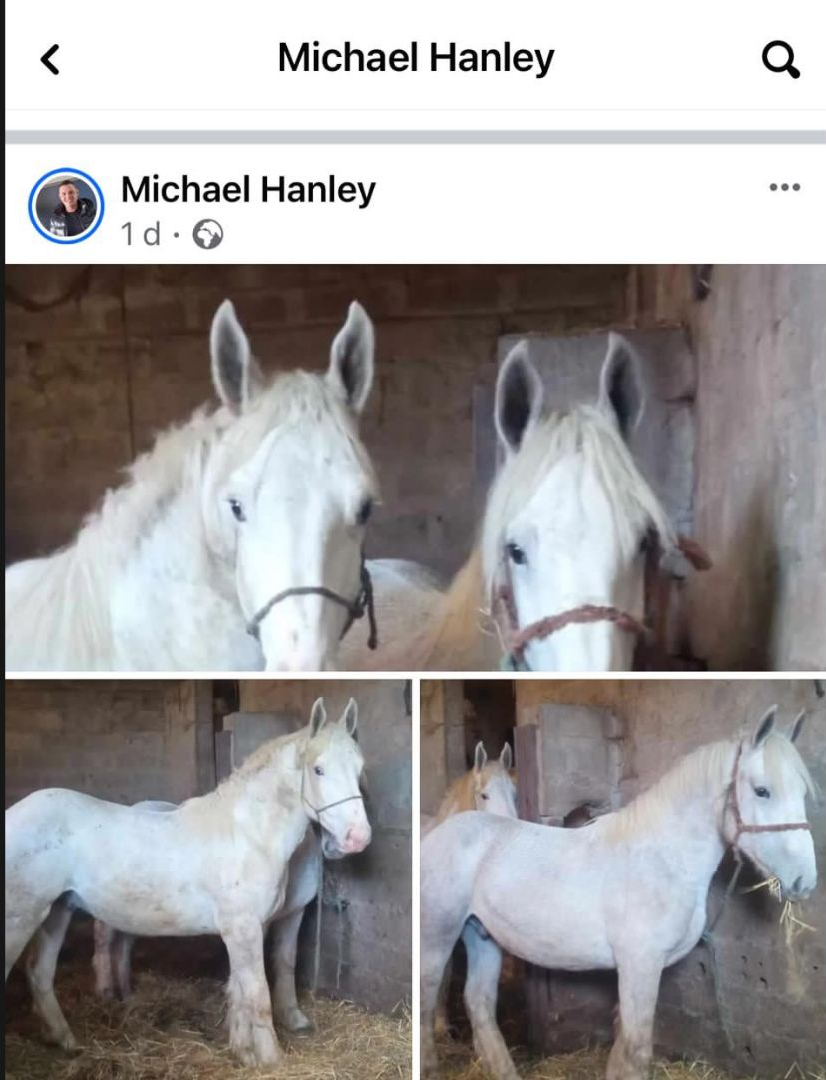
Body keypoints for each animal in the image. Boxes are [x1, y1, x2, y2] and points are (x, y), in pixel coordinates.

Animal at [91, 804, 323, 1035]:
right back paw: (105, 993)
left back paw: (126, 993)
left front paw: (293, 1017)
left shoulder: (292, 913)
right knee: (104, 939)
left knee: (124, 944)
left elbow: (285, 960)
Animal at [420, 706, 816, 1080]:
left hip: (481, 936)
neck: (663, 857)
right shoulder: (640, 966)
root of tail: (437, 833)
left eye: (801, 791)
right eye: (762, 790)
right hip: (438, 938)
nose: (805, 880)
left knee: (479, 1003)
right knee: (428, 1001)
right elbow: (637, 1053)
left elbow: (621, 1049)